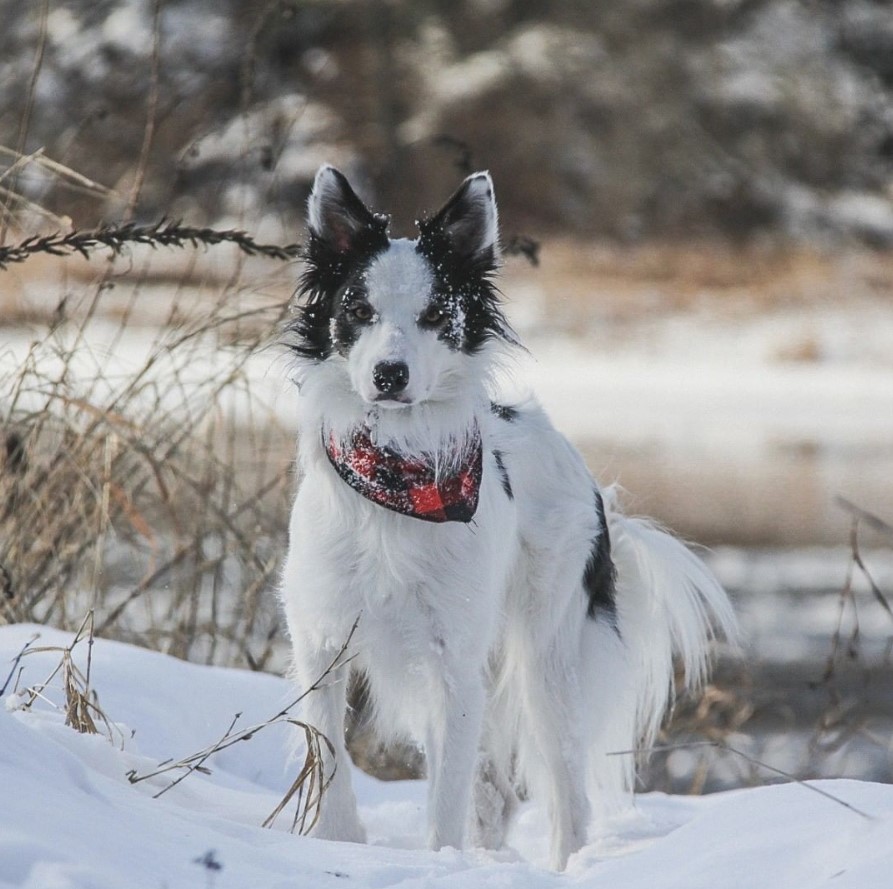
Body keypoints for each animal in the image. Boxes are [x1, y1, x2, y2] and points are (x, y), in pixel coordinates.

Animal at [280, 165, 740, 868]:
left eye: (436, 315)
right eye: (357, 311)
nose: (390, 374)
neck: (396, 469)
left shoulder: (454, 664)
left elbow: (445, 799)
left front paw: (440, 863)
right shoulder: (321, 644)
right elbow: (331, 771)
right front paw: (336, 848)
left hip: (548, 660)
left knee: (566, 792)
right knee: (494, 793)